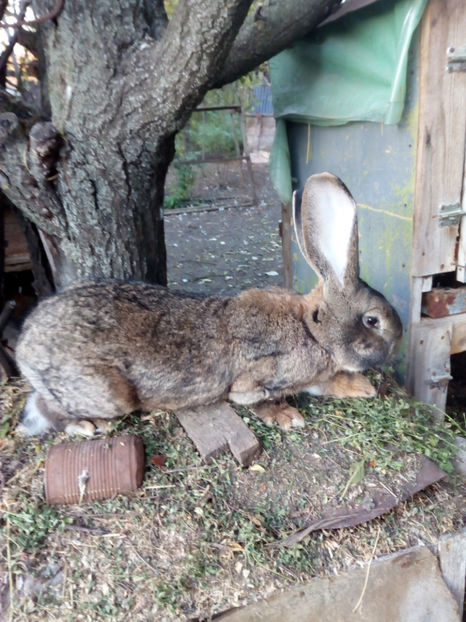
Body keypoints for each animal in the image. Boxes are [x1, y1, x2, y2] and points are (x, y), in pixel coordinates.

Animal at [16, 172, 402, 438]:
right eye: (372, 321)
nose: (399, 338)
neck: (313, 330)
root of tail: (24, 346)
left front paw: (360, 388)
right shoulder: (257, 380)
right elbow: (258, 399)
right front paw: (288, 417)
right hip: (107, 393)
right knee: (50, 407)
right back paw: (86, 426)